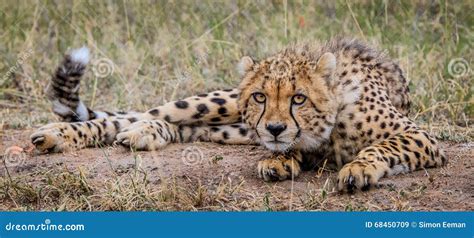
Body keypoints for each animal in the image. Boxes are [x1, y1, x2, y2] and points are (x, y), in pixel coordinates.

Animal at [31, 38, 446, 192]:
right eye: (261, 96)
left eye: (298, 98)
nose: (274, 127)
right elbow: (289, 149)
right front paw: (279, 160)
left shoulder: (421, 137)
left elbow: (380, 147)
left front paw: (358, 168)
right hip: (221, 103)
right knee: (141, 114)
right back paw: (57, 134)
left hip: (225, 127)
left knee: (181, 128)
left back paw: (146, 135)